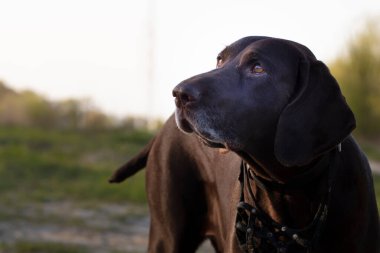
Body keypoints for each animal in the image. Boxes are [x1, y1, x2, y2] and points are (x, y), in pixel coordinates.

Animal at [110, 36, 378, 253]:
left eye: (258, 68)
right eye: (219, 60)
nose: (178, 93)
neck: (289, 187)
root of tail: (161, 130)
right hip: (167, 236)